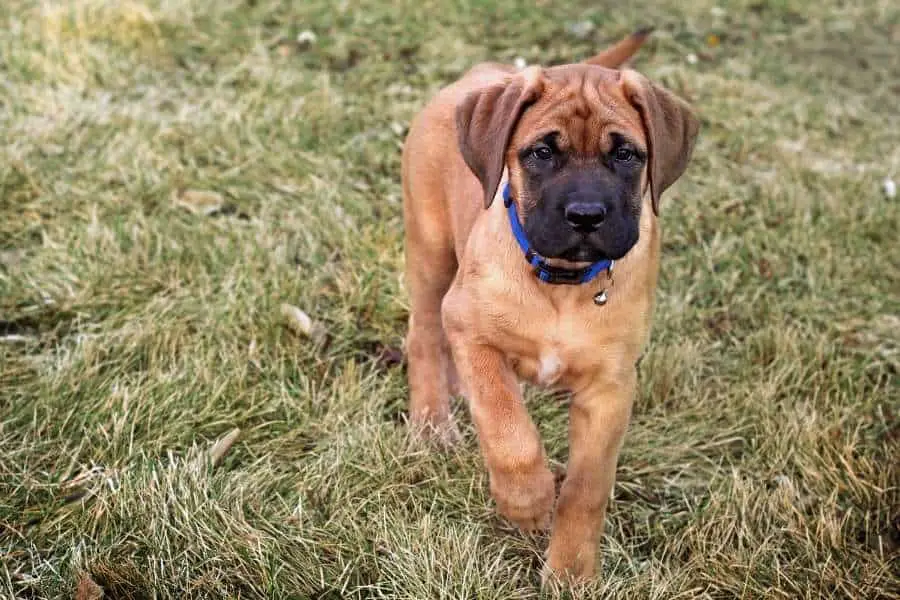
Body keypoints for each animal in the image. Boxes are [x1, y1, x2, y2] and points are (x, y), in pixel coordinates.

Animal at [402, 29, 704, 580]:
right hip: (430, 251)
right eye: (542, 152)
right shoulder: (472, 330)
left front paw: (571, 572)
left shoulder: (610, 387)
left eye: (626, 156)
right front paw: (527, 500)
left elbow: (588, 489)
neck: (561, 284)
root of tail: (485, 71)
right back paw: (433, 421)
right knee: (425, 333)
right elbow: (508, 428)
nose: (585, 215)